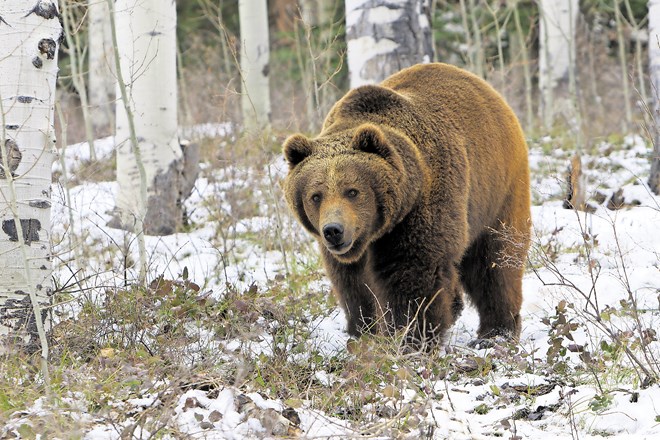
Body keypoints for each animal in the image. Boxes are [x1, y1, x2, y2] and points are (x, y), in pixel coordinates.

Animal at [282, 62, 532, 346]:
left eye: (352, 191)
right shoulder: (349, 250)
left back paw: (496, 332)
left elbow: (413, 271)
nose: (334, 230)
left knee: (495, 260)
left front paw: (409, 337)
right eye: (316, 195)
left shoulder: (422, 205)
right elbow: (353, 282)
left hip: (497, 189)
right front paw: (365, 331)